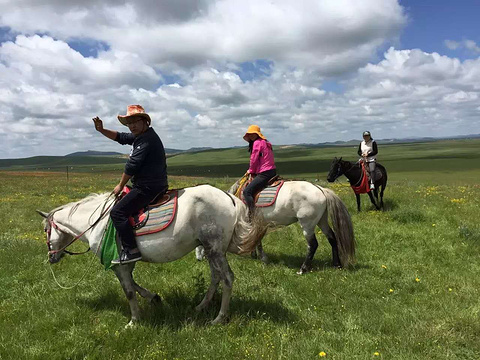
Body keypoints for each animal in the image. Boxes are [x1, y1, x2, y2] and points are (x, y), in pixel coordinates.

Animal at [39, 184, 266, 324]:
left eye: (45, 230)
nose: (51, 257)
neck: (96, 221)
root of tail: (230, 199)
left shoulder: (118, 264)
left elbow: (129, 291)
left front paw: (134, 321)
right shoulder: (125, 262)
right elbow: (134, 285)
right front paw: (154, 298)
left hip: (215, 249)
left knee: (227, 278)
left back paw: (219, 318)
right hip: (211, 250)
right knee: (215, 277)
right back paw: (200, 307)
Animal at [196, 179, 356, 274]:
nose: (198, 259)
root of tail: (321, 189)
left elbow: (256, 240)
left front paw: (261, 257)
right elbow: (256, 239)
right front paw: (255, 254)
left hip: (308, 224)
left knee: (313, 245)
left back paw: (303, 269)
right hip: (321, 220)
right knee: (332, 238)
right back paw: (336, 264)